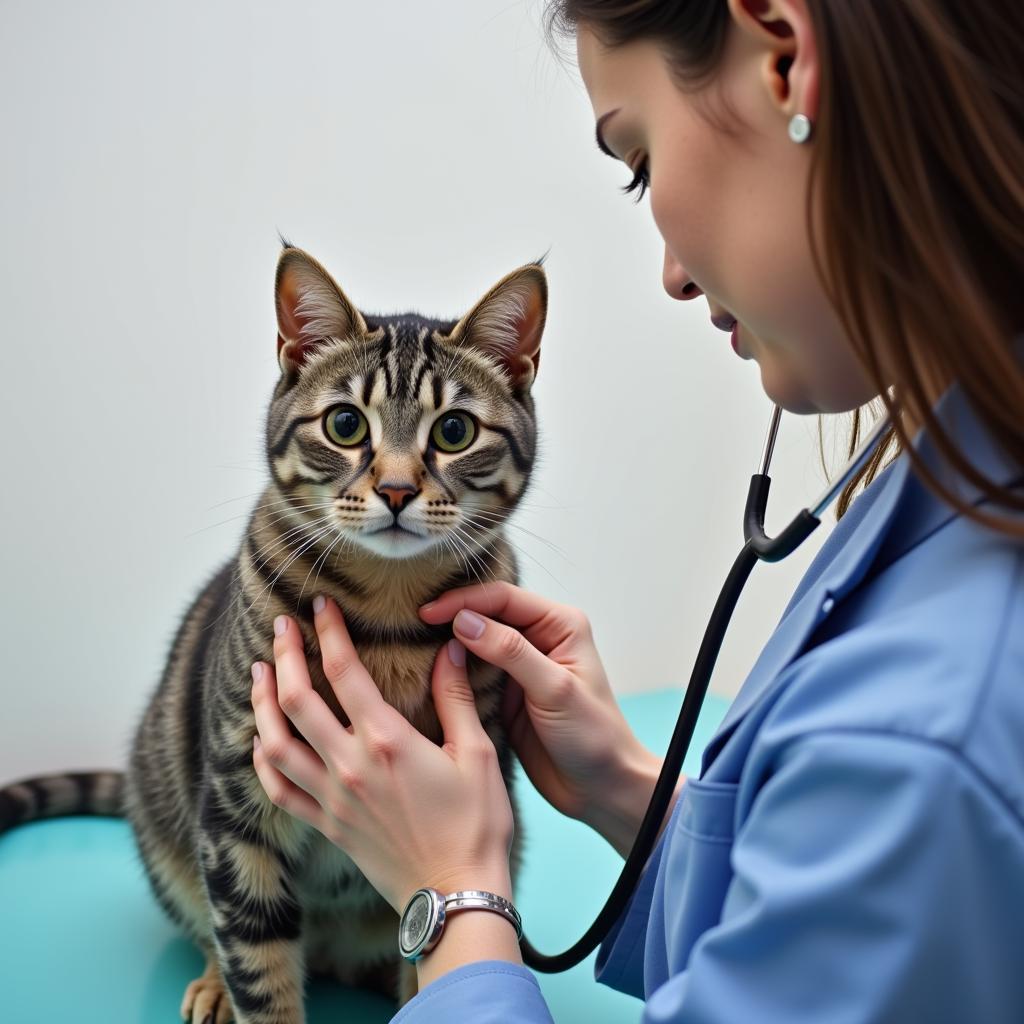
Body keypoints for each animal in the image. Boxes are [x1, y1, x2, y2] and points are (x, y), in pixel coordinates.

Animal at [0, 243, 552, 1019]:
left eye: (454, 432)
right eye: (346, 424)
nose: (396, 490)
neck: (387, 612)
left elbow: (430, 961)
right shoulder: (238, 802)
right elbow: (256, 959)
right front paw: (247, 989)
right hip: (167, 823)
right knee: (212, 927)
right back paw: (211, 985)